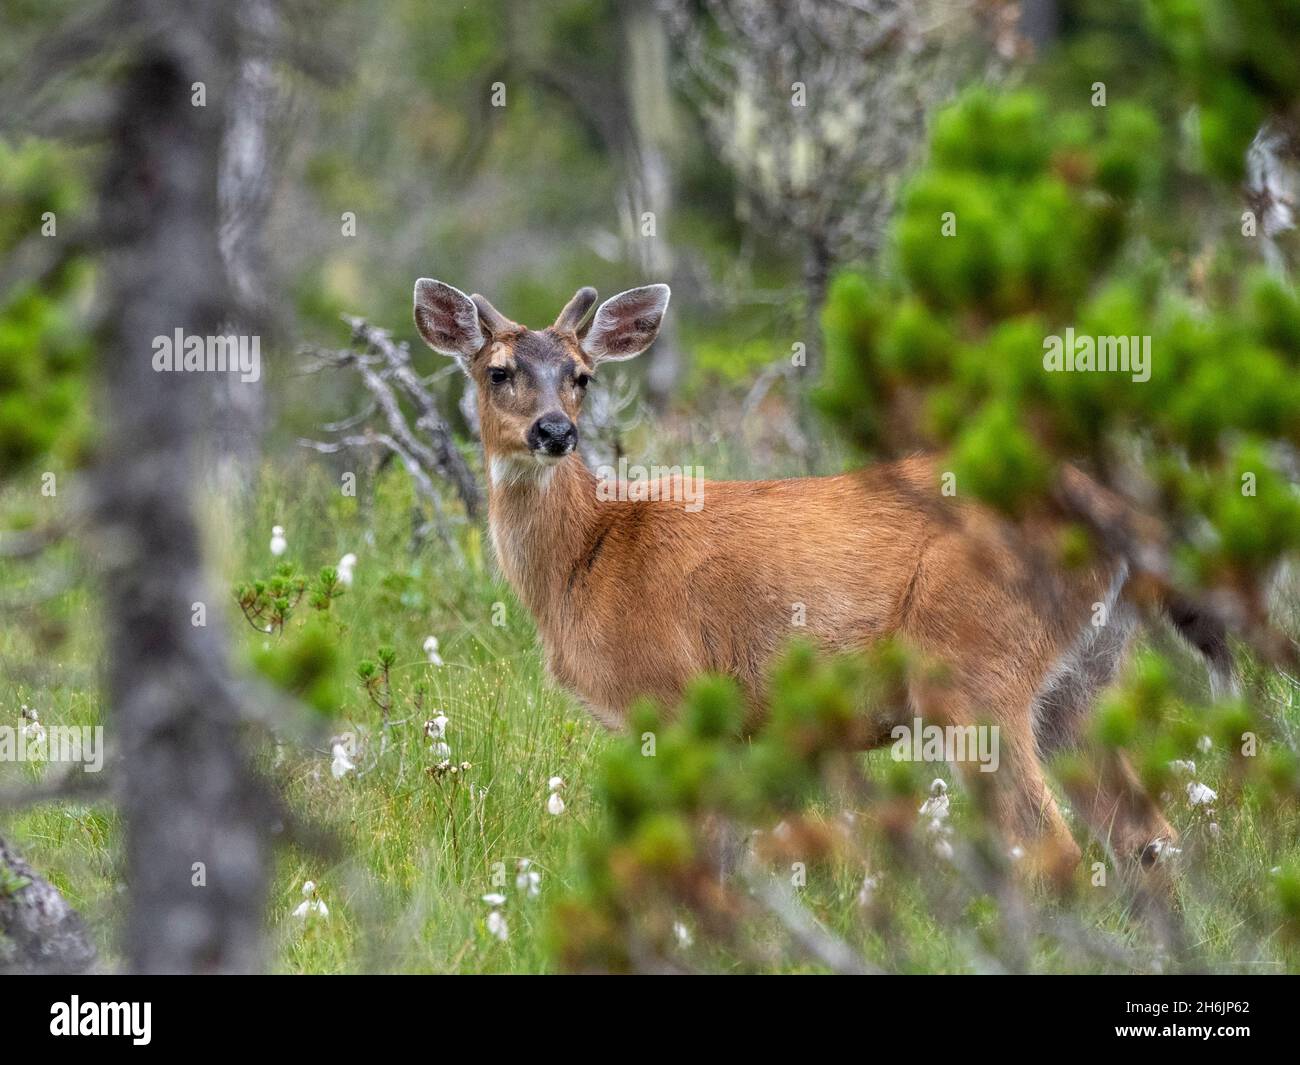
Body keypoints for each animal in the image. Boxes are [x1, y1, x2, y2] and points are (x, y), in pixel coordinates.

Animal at [413, 279, 1227, 879]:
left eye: (583, 376)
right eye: (498, 371)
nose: (555, 431)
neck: (592, 554)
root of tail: (1115, 517)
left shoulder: (670, 693)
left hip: (972, 667)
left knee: (1051, 842)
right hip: (1080, 682)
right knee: (1149, 837)